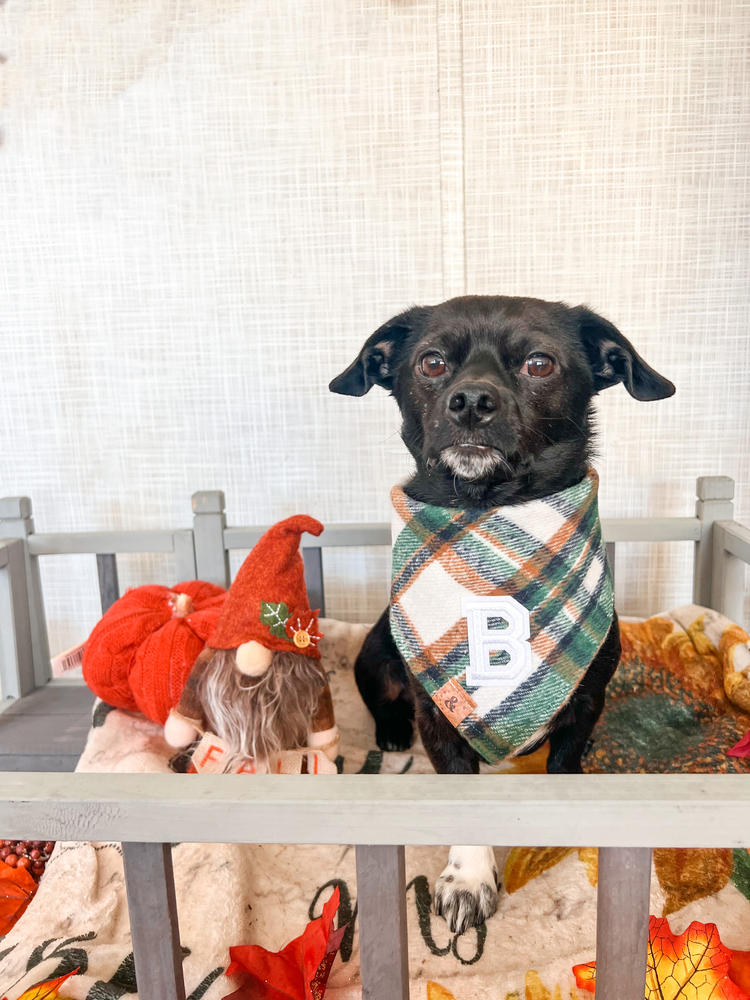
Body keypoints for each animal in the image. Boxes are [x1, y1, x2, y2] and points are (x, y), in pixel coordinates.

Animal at [328, 294, 676, 928]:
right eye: (432, 362)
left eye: (539, 363)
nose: (470, 400)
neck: (493, 512)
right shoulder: (440, 711)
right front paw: (468, 878)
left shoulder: (587, 701)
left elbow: (563, 769)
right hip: (374, 654)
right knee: (379, 700)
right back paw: (391, 733)